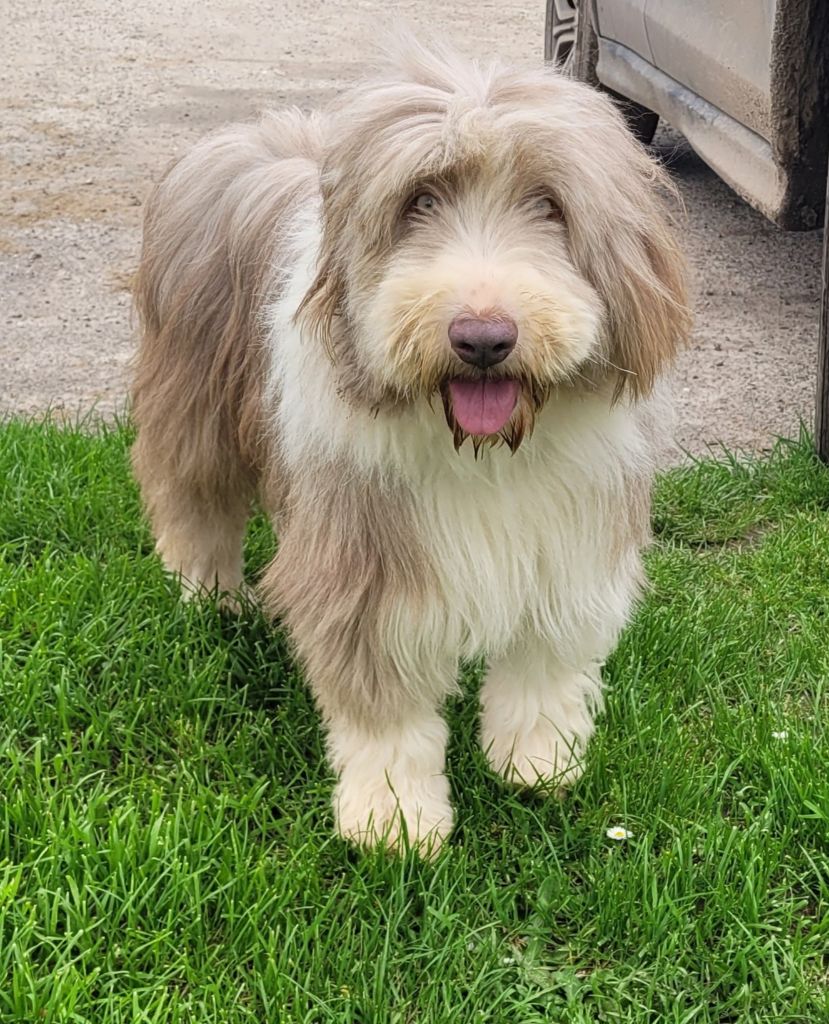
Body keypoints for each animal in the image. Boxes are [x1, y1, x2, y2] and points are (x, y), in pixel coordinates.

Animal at [132, 37, 687, 856]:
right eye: (418, 201)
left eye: (549, 204)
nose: (482, 338)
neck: (486, 456)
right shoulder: (365, 566)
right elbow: (384, 710)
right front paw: (394, 820)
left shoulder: (566, 549)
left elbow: (543, 668)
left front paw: (537, 764)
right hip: (195, 409)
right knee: (194, 509)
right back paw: (213, 600)